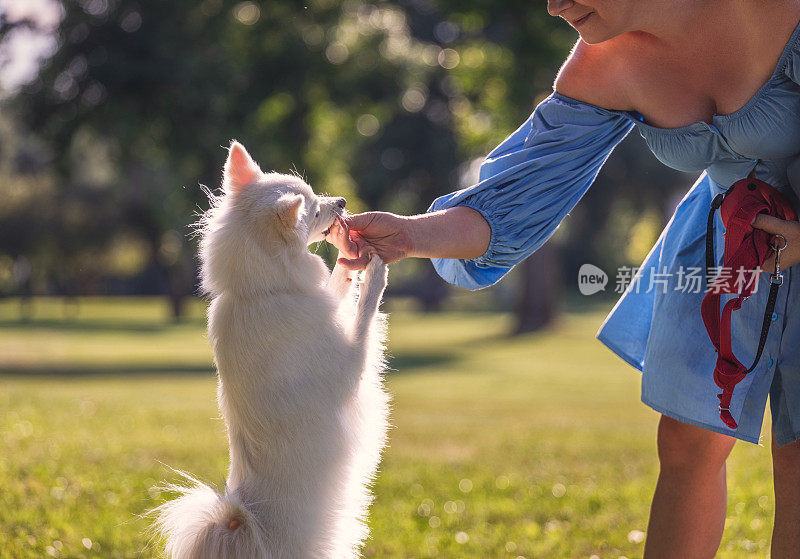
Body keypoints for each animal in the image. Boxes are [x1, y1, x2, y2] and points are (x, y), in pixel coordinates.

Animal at [153, 141, 390, 559]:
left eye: (318, 197)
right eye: (314, 211)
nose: (342, 201)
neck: (259, 292)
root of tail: (241, 523)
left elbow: (335, 286)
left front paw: (348, 266)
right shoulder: (351, 366)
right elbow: (364, 315)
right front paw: (374, 274)